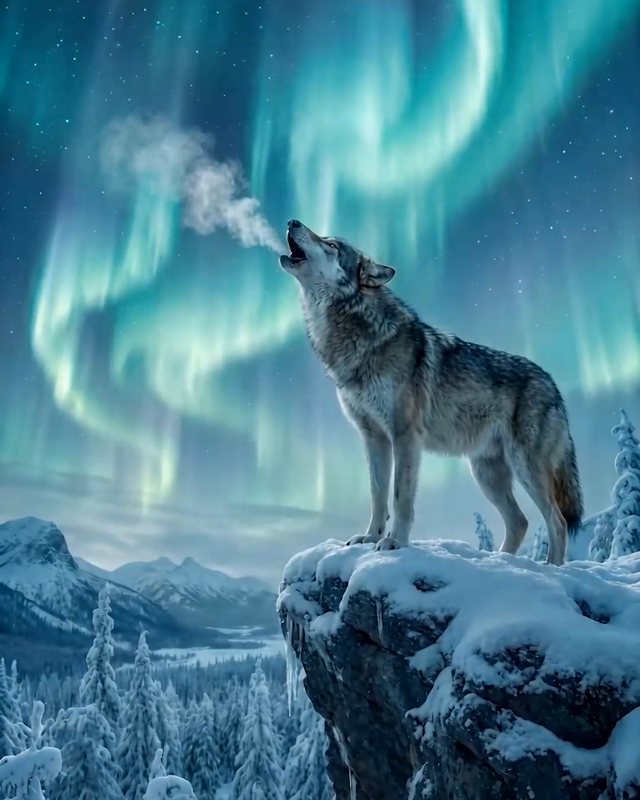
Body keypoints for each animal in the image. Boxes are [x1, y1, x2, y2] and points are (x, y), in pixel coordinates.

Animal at [280, 219, 583, 565]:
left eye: (331, 245)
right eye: (325, 238)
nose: (292, 222)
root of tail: (554, 385)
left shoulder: (404, 436)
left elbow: (400, 497)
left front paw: (394, 543)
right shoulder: (373, 438)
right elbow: (377, 495)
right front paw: (370, 538)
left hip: (525, 467)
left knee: (556, 521)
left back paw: (550, 568)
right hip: (486, 473)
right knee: (520, 522)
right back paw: (497, 563)